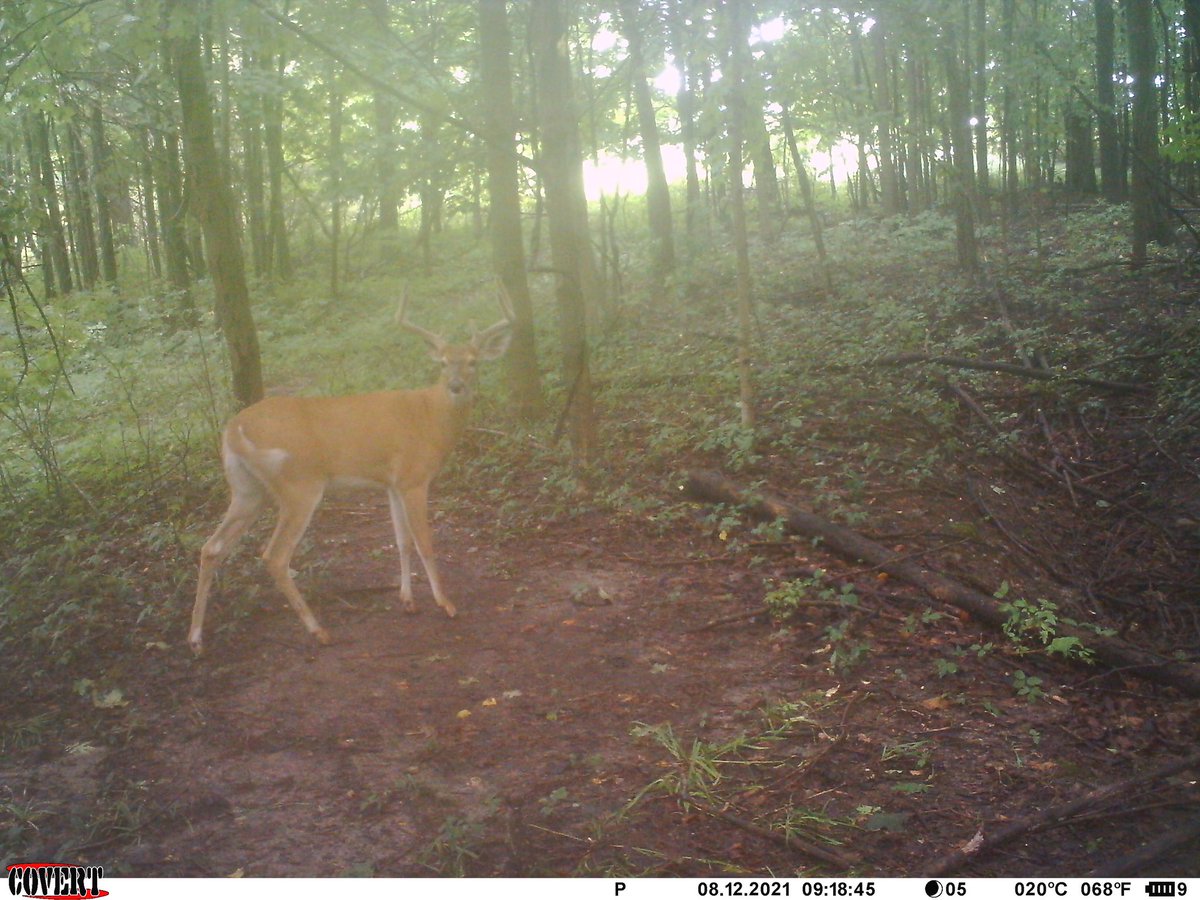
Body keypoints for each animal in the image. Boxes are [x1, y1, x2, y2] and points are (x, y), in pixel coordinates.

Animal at [189, 285, 515, 655]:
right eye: (444, 363)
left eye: (473, 361)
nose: (456, 386)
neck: (430, 417)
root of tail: (232, 430)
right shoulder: (414, 477)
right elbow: (424, 542)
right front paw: (445, 603)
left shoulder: (392, 482)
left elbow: (401, 540)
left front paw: (408, 600)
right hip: (298, 486)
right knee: (274, 556)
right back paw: (319, 630)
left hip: (247, 490)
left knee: (211, 547)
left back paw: (196, 639)